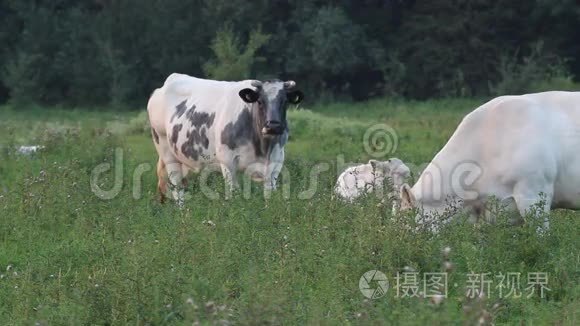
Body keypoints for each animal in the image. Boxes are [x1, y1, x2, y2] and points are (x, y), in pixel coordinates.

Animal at [147, 74, 304, 204]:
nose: (273, 126)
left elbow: (269, 193)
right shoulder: (227, 160)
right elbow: (234, 193)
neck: (262, 147)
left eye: (285, 102)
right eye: (260, 101)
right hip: (165, 149)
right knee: (176, 186)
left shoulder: (276, 162)